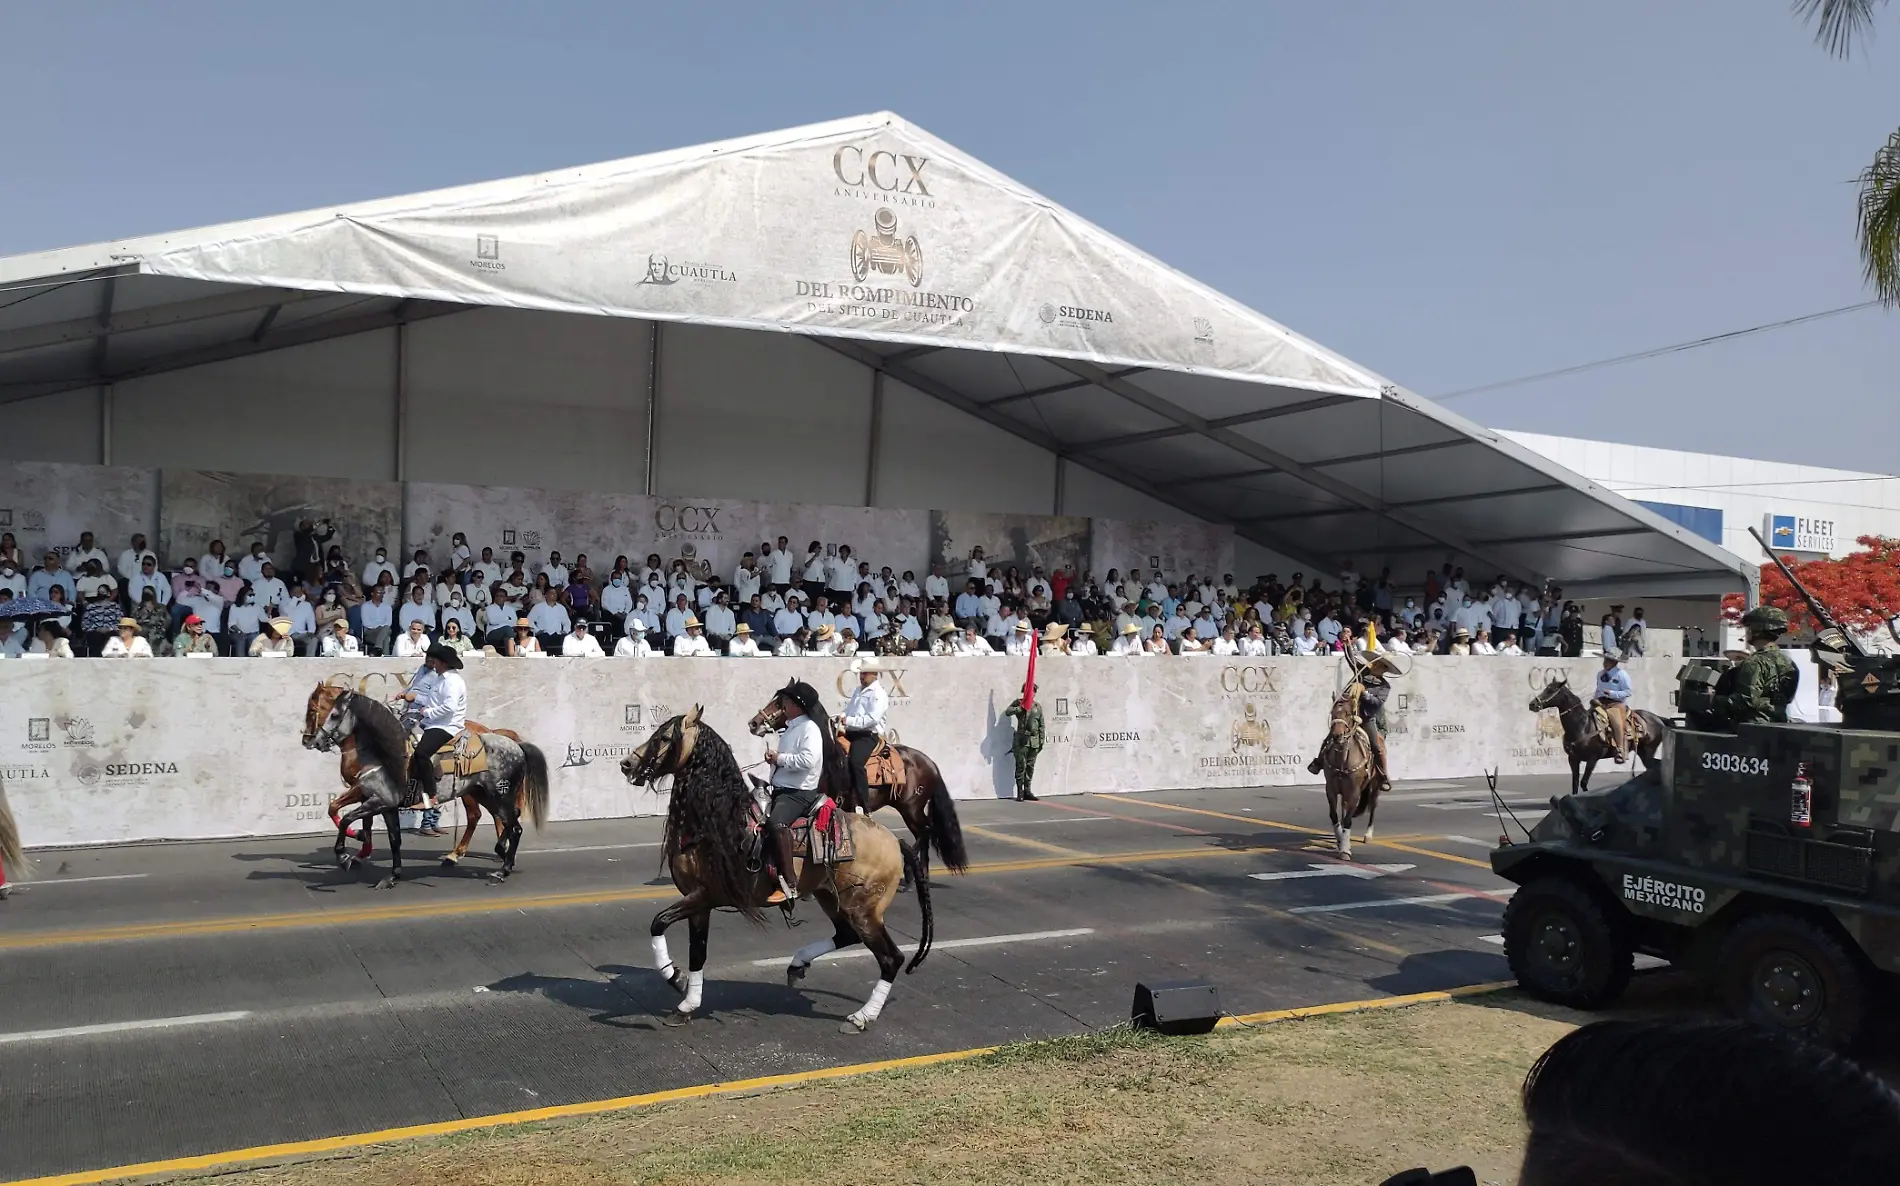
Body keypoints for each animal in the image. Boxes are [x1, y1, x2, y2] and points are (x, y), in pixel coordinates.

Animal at [309, 691, 551, 885]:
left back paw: (500, 869)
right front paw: (392, 875)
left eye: (334, 714)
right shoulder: (383, 803)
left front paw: (344, 856)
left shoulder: (377, 800)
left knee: (512, 825)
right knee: (506, 819)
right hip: (483, 794)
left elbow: (347, 818)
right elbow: (393, 839)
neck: (384, 753)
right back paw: (497, 853)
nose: (316, 741)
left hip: (499, 795)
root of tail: (516, 745)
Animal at [619, 707, 931, 1033]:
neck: (716, 821)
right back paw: (798, 964)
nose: (627, 764)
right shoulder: (698, 902)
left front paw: (675, 977)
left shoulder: (707, 895)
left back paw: (861, 1016)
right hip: (831, 898)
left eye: (666, 737)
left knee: (890, 958)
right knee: (847, 935)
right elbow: (697, 953)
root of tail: (895, 842)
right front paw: (687, 1003)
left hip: (864, 910)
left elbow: (658, 922)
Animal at [748, 691, 972, 885]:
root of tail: (930, 763)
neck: (828, 759)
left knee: (927, 830)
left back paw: (910, 867)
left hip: (912, 808)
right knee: (923, 834)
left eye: (779, 703)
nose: (754, 723)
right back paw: (917, 876)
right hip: (909, 810)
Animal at [1322, 676, 1383, 862]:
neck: (1343, 758)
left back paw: (1368, 835)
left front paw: (1345, 850)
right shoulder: (1331, 789)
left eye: (1348, 714)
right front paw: (1339, 841)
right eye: (1333, 713)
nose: (1337, 736)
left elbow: (1348, 819)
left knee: (1373, 807)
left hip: (1375, 786)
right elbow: (1334, 816)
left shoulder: (1355, 791)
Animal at [1527, 676, 1664, 798]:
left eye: (1551, 690)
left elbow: (1583, 783)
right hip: (1643, 752)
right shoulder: (1573, 759)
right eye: (1546, 688)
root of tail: (1658, 718)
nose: (1532, 704)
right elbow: (1575, 784)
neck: (1583, 727)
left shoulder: (1592, 759)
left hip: (1648, 750)